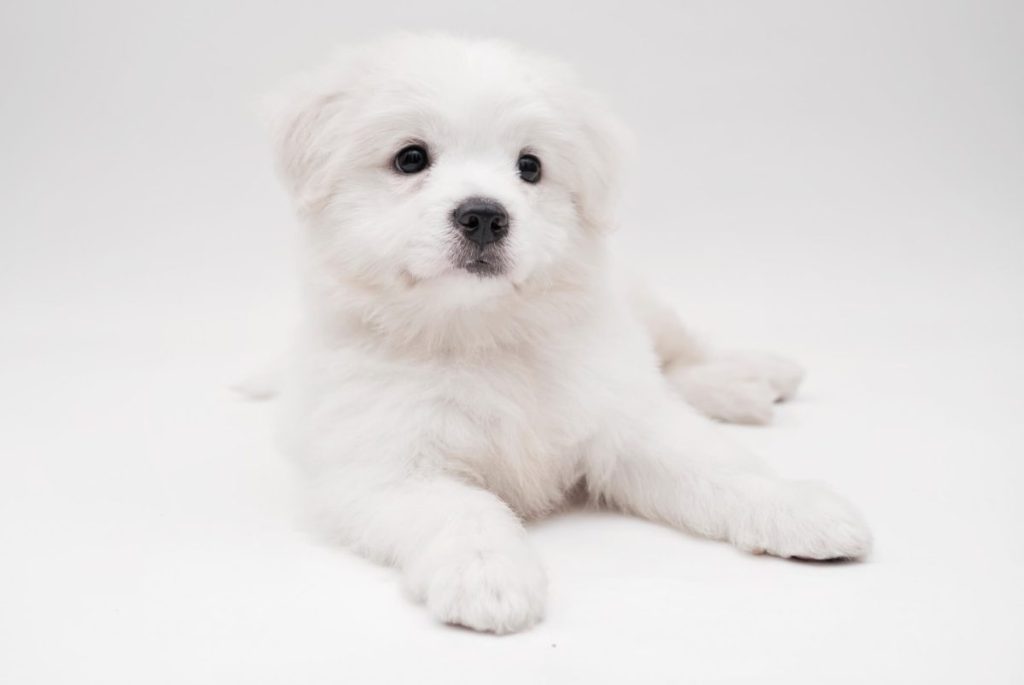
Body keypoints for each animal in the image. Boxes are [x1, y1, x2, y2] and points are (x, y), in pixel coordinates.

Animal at [264, 31, 872, 630]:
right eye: (410, 158)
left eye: (530, 166)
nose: (484, 216)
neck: (482, 334)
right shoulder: (388, 468)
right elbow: (464, 509)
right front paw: (489, 577)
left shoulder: (625, 420)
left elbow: (713, 466)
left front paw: (796, 507)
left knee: (676, 359)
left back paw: (755, 378)